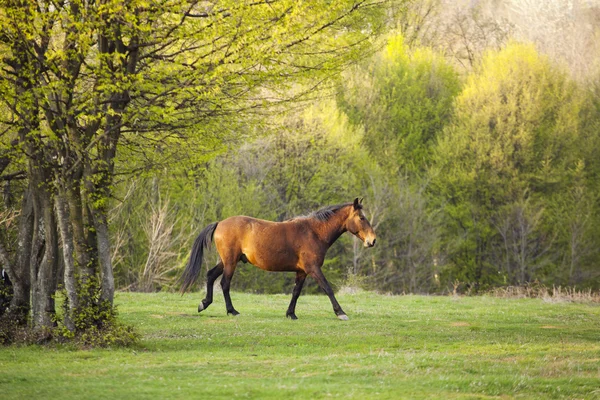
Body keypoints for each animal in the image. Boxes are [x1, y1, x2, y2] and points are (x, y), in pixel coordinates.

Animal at [178, 198, 376, 320]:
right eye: (361, 217)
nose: (372, 240)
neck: (313, 232)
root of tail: (220, 223)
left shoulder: (302, 271)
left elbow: (296, 292)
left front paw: (291, 314)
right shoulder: (313, 269)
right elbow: (327, 288)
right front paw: (340, 313)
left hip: (226, 261)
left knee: (211, 275)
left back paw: (204, 303)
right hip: (230, 262)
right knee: (224, 283)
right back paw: (232, 311)